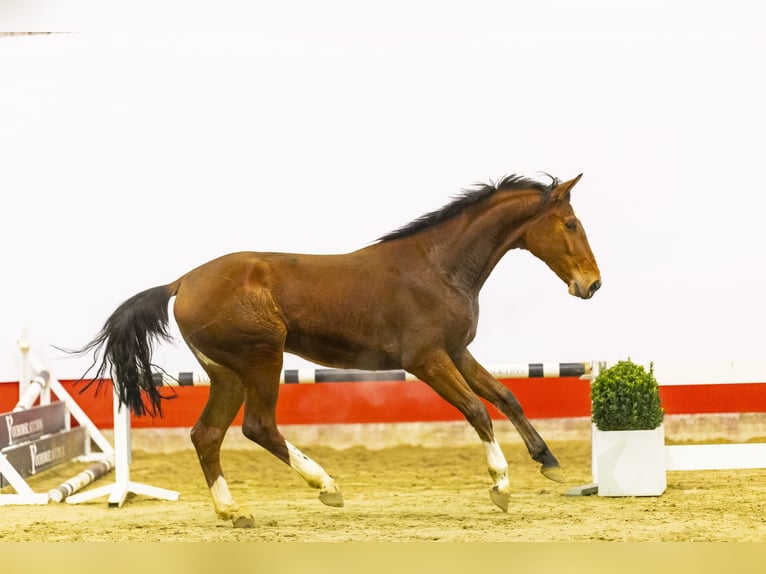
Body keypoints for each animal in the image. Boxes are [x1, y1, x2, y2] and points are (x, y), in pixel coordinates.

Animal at [79, 173, 608, 528]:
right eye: (570, 223)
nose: (592, 284)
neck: (439, 268)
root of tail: (181, 282)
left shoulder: (456, 352)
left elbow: (506, 396)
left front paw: (549, 463)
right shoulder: (426, 360)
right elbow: (477, 409)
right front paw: (500, 486)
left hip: (227, 373)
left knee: (206, 434)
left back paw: (235, 511)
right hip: (262, 360)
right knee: (258, 426)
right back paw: (326, 487)